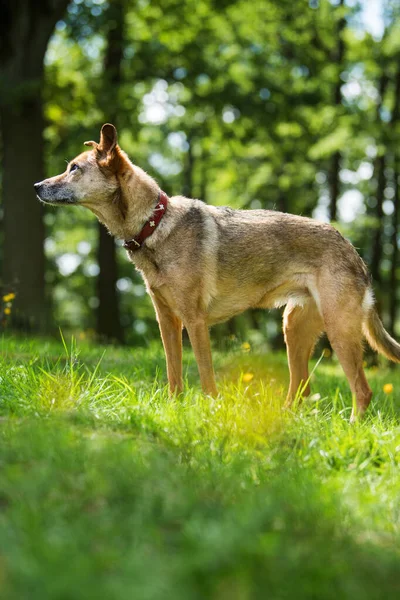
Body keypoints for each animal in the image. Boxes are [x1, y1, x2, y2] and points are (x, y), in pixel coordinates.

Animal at [34, 124, 400, 420]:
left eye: (74, 169)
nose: (37, 185)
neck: (154, 224)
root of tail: (353, 251)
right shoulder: (167, 321)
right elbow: (174, 375)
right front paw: (174, 411)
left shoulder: (195, 322)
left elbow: (206, 377)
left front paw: (210, 413)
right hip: (294, 330)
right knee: (302, 391)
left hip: (340, 332)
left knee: (362, 391)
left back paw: (352, 427)